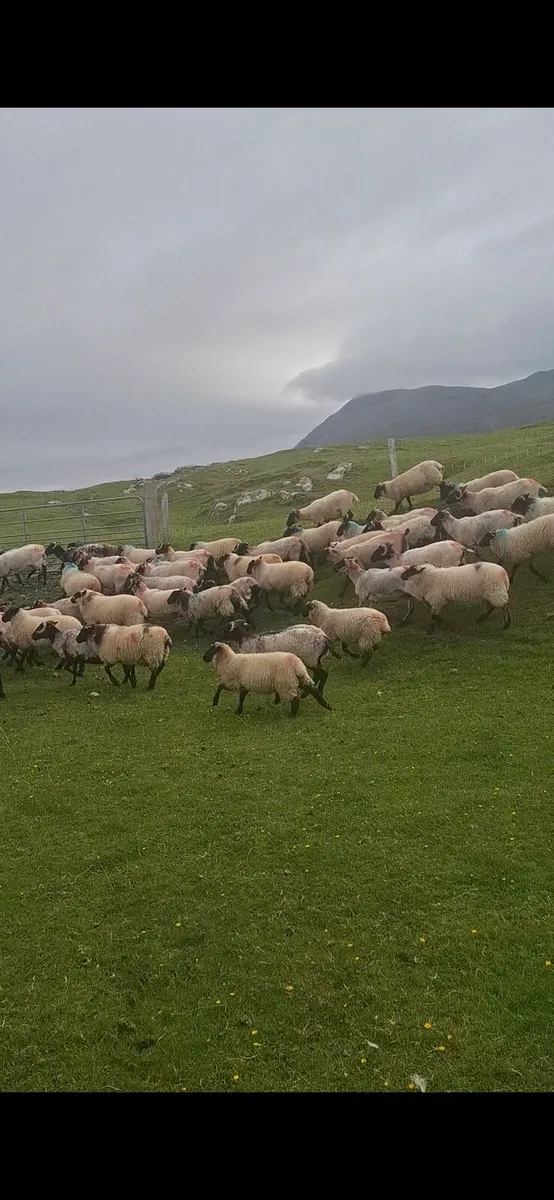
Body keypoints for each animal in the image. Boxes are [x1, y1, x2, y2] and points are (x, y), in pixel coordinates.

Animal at [202, 641, 331, 717]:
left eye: (211, 649)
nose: (203, 658)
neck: (229, 660)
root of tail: (297, 666)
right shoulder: (244, 684)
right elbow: (242, 697)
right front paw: (238, 711)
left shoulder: (232, 682)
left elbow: (220, 686)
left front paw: (215, 701)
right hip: (298, 679)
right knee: (312, 690)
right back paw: (327, 705)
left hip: (285, 684)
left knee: (295, 699)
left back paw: (292, 715)